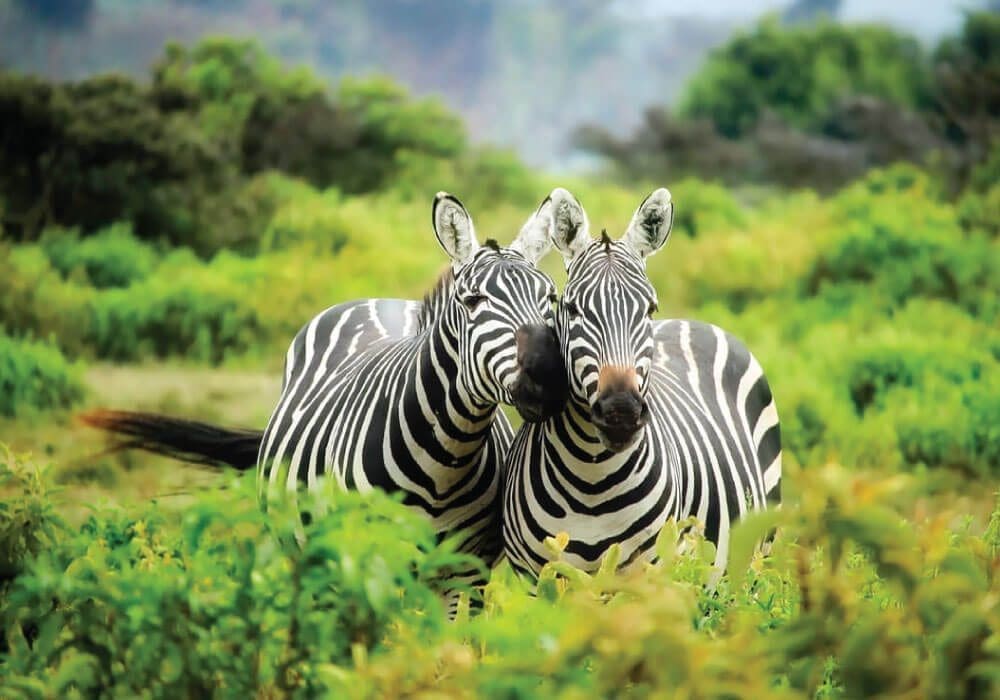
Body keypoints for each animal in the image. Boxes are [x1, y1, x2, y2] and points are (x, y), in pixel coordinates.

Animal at [82, 192, 569, 598]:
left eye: (550, 298)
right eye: (472, 302)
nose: (549, 377)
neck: (445, 460)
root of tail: (380, 300)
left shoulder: (465, 574)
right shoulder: (368, 563)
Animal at [502, 187, 781, 579]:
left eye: (649, 309)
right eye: (571, 309)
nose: (621, 412)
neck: (591, 480)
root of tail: (693, 321)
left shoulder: (648, 575)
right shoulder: (535, 578)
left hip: (757, 556)